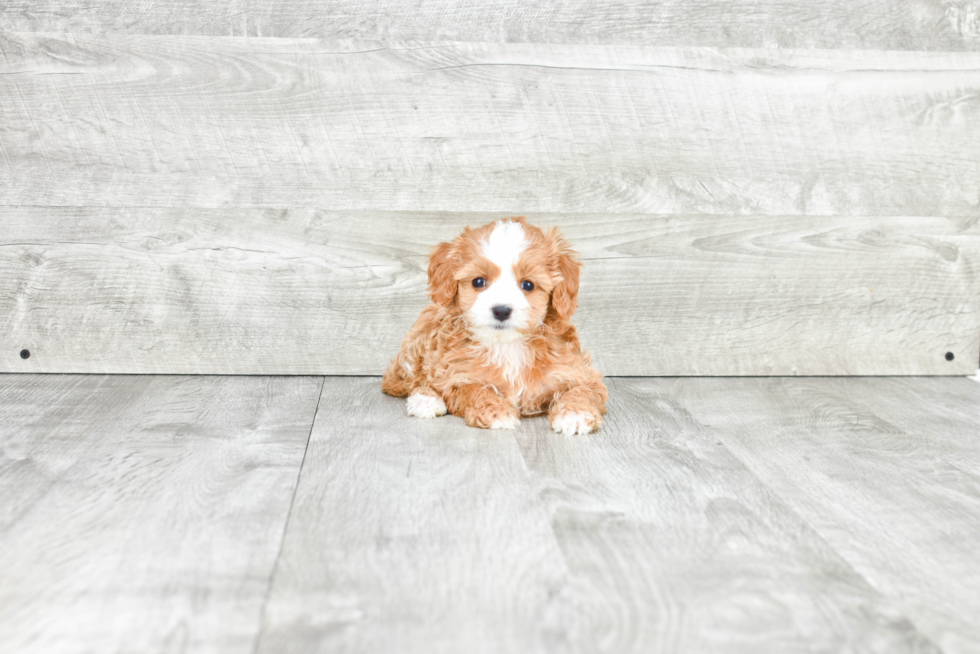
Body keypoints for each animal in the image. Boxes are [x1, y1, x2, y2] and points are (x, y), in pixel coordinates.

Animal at [380, 219, 604, 436]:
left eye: (528, 285)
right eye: (478, 281)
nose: (501, 310)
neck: (508, 346)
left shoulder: (579, 372)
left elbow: (582, 390)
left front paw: (575, 414)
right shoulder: (456, 376)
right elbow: (477, 390)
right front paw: (498, 413)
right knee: (408, 380)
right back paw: (425, 400)